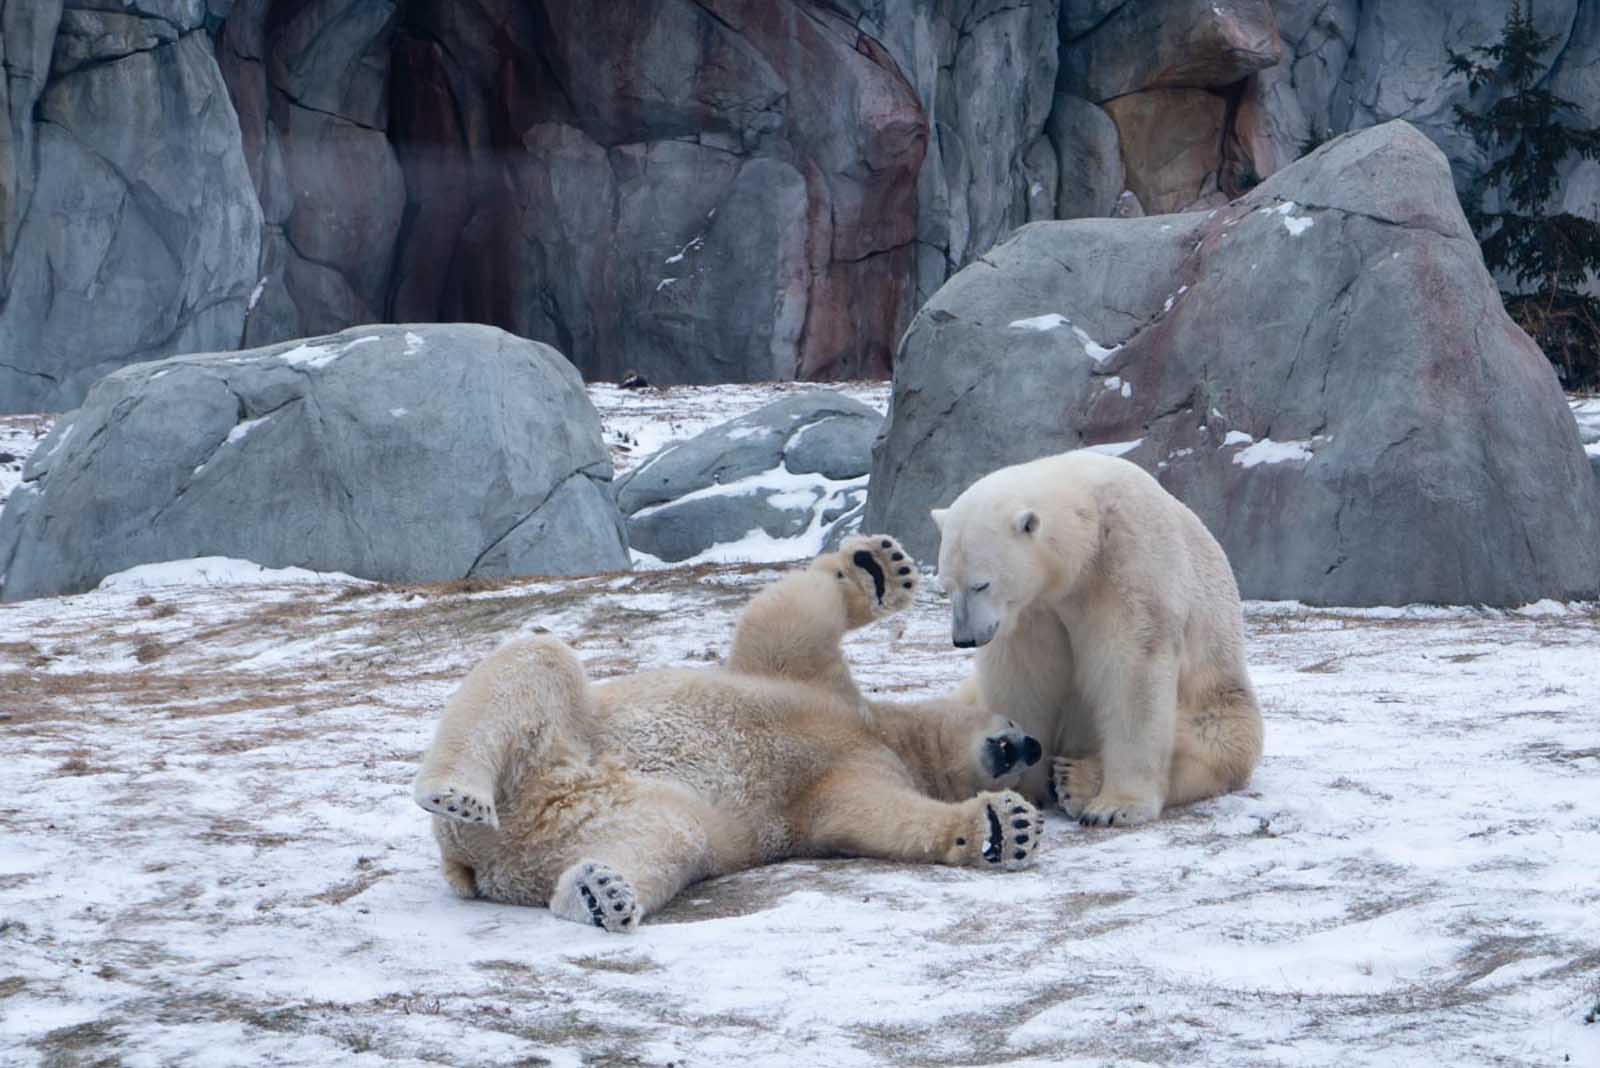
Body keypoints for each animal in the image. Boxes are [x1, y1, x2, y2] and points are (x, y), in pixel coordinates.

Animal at [409, 537, 1049, 927]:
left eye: (1031, 767)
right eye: (1016, 726)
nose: (1028, 744)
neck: (886, 733)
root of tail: (476, 863)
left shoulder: (846, 777)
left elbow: (878, 818)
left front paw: (1003, 829)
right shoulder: (813, 686)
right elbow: (786, 617)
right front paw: (879, 567)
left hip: (583, 821)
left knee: (667, 837)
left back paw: (599, 893)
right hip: (559, 740)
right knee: (540, 664)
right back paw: (455, 791)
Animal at [934, 450, 1260, 824]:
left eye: (981, 584)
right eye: (946, 586)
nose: (965, 639)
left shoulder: (1130, 565)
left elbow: (1132, 671)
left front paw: (1116, 806)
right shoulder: (1031, 613)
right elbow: (1022, 680)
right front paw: (1019, 785)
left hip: (1220, 699)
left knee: (1214, 744)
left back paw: (1076, 780)